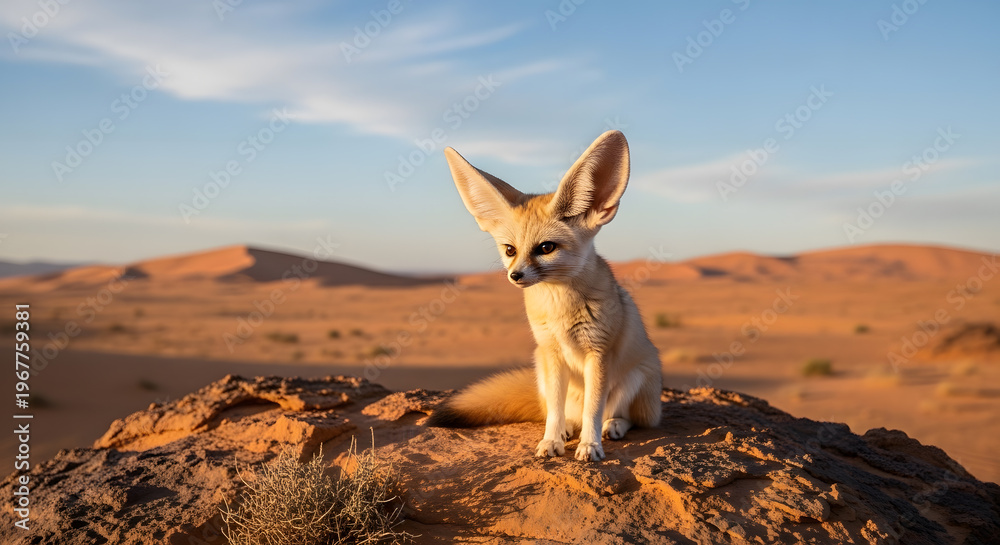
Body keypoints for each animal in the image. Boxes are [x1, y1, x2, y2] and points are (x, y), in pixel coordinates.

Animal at [427, 130, 663, 462]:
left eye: (546, 248)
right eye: (510, 250)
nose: (515, 276)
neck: (560, 308)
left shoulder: (598, 353)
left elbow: (594, 409)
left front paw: (590, 446)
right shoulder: (551, 352)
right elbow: (555, 410)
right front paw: (551, 440)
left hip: (638, 378)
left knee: (624, 417)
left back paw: (612, 426)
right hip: (539, 365)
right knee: (564, 412)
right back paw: (567, 430)